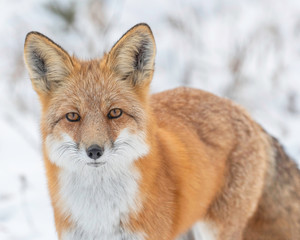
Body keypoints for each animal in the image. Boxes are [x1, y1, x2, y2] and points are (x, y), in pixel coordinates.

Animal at [24, 23, 300, 240]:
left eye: (115, 113)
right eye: (73, 116)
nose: (94, 151)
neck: (100, 216)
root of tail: (245, 113)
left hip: (213, 230)